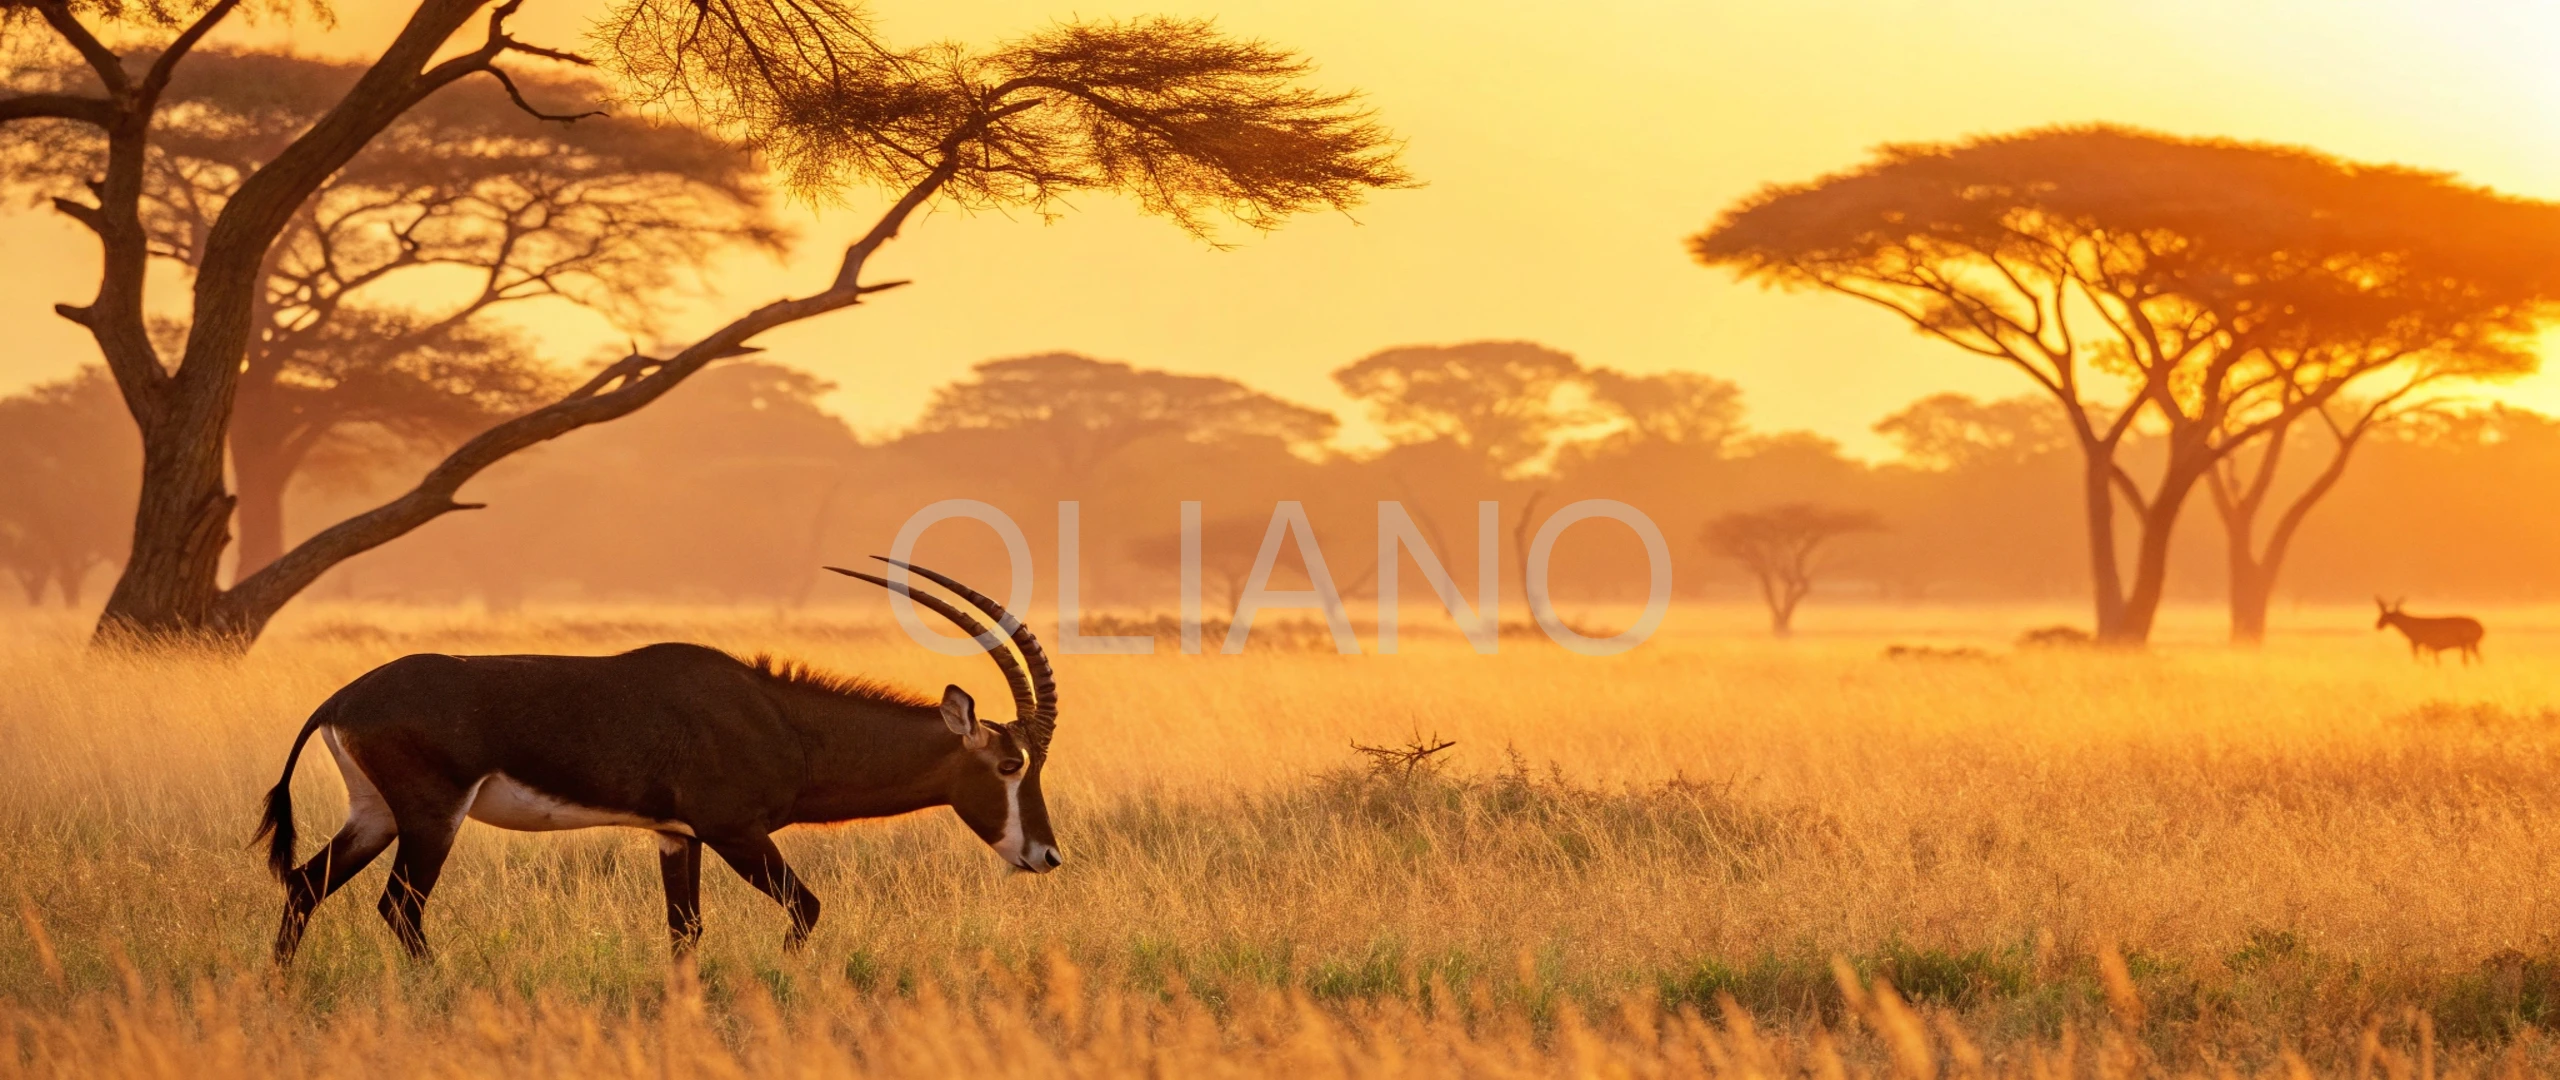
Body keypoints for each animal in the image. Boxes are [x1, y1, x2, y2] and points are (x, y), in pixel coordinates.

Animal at [255, 559, 1060, 964]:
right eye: (1011, 764)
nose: (1047, 857)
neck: (779, 719)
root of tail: (342, 698)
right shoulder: (734, 832)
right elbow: (806, 907)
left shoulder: (678, 837)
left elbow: (684, 932)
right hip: (431, 819)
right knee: (399, 909)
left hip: (375, 816)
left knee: (303, 886)